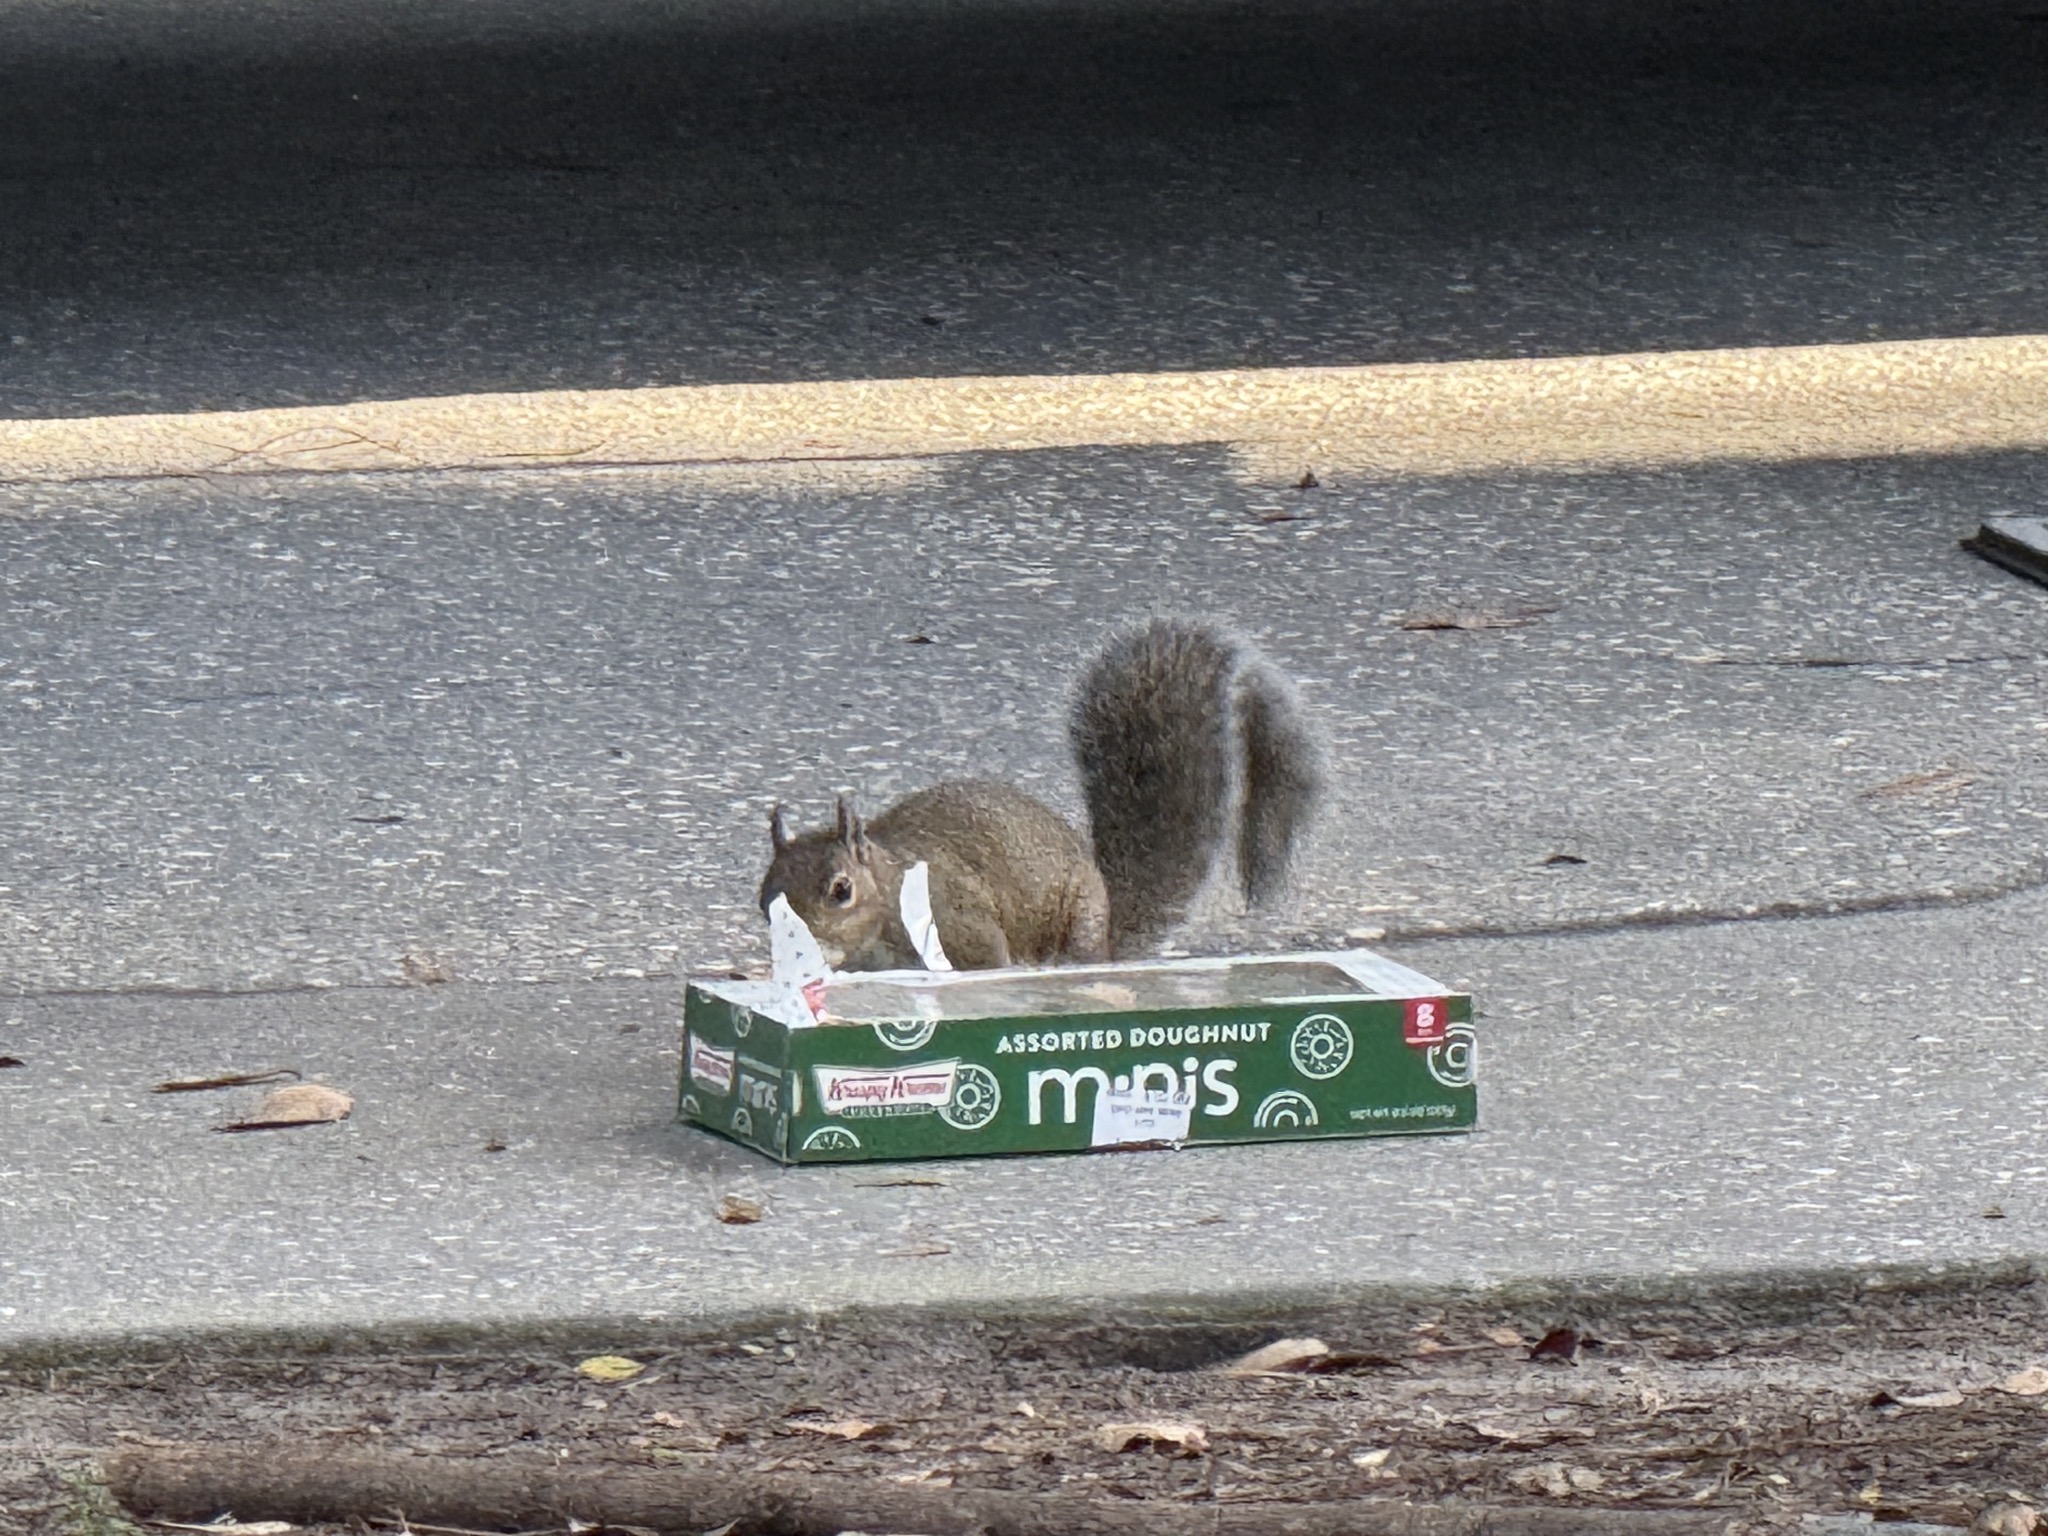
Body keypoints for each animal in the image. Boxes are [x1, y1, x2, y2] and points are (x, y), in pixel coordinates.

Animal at [758, 619, 1324, 971]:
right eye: (765, 896)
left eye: (841, 890)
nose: (794, 940)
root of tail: (1110, 936)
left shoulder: (958, 923)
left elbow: (986, 960)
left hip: (1078, 925)